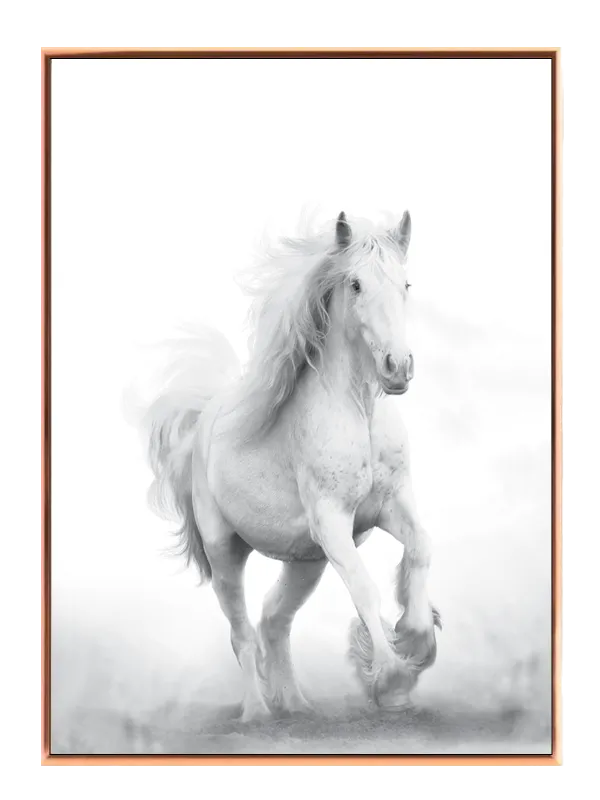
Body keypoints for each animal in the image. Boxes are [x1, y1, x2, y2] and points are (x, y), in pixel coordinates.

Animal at [140, 210, 441, 721]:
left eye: (406, 283)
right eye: (356, 284)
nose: (397, 367)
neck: (358, 413)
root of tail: (203, 427)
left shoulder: (390, 505)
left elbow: (420, 546)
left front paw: (417, 636)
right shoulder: (333, 521)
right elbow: (364, 589)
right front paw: (391, 680)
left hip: (307, 563)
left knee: (273, 619)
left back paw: (297, 707)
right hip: (226, 554)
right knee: (242, 632)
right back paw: (257, 713)